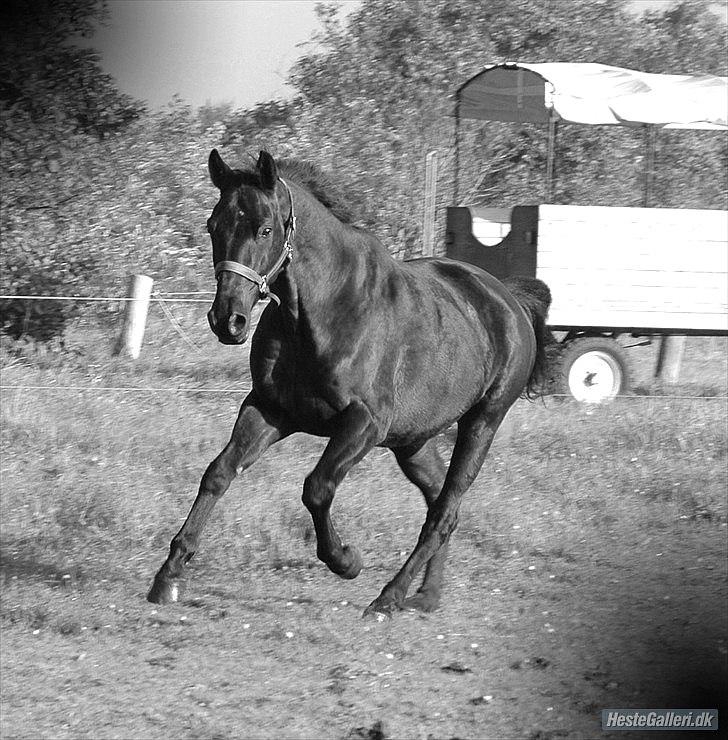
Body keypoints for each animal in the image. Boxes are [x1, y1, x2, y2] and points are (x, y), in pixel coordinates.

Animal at [145, 147, 548, 616]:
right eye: (213, 226)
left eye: (265, 229)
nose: (227, 320)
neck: (322, 313)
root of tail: (507, 299)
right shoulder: (269, 410)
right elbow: (219, 473)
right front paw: (168, 576)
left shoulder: (363, 424)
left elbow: (317, 488)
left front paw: (346, 560)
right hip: (412, 440)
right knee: (438, 501)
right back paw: (427, 595)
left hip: (481, 422)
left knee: (444, 511)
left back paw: (389, 597)